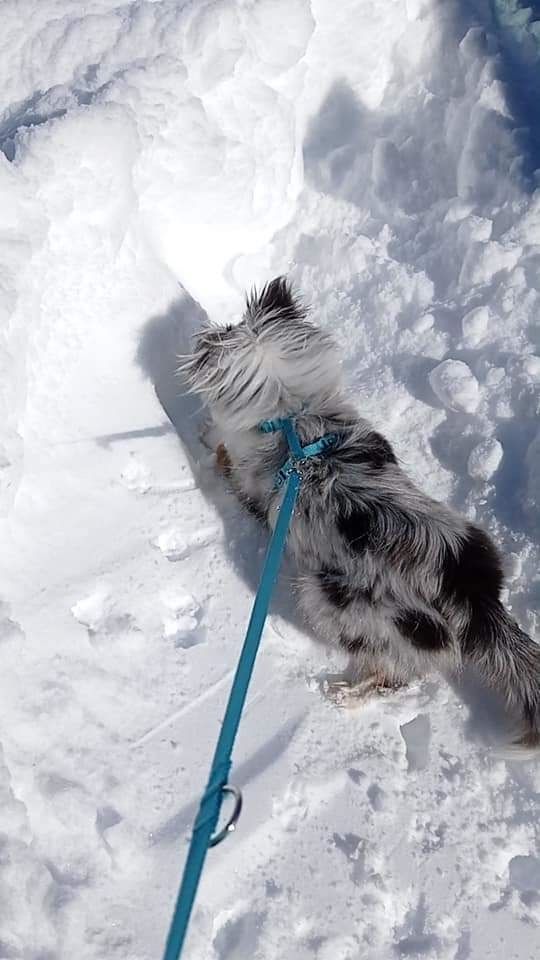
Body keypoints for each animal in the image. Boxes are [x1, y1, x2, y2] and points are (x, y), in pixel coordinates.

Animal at [180, 274, 540, 748]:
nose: (206, 333)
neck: (295, 417)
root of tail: (472, 592)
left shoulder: (249, 485)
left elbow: (226, 461)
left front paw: (205, 436)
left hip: (332, 599)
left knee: (395, 676)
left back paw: (345, 694)